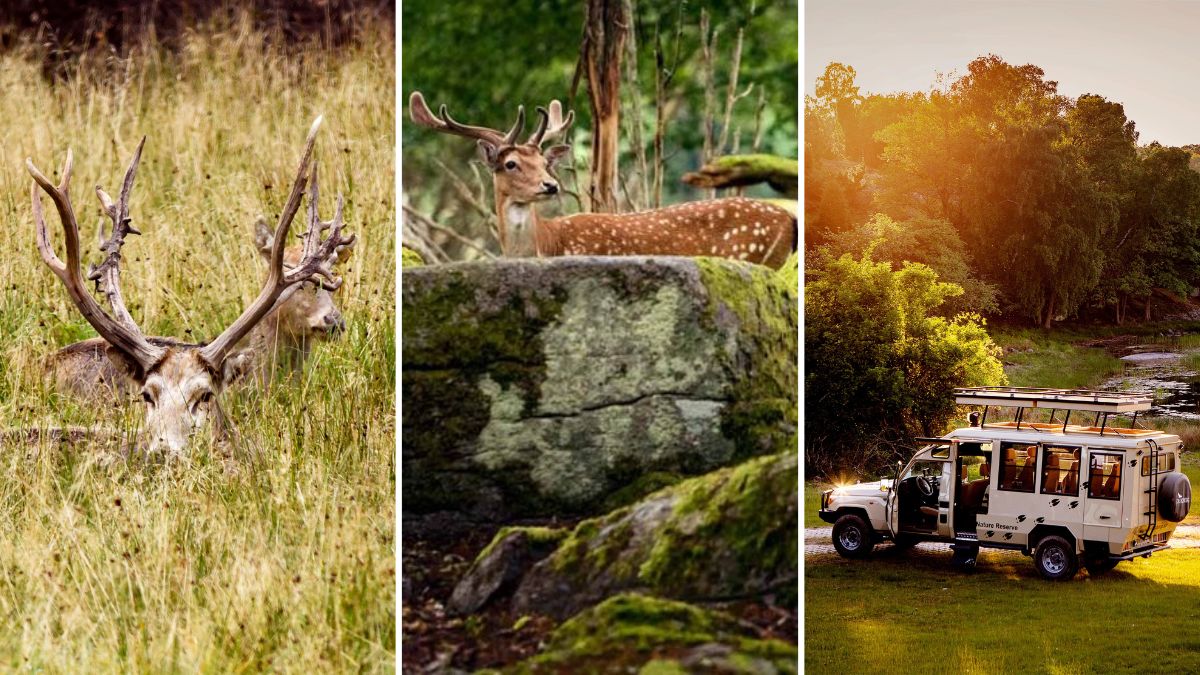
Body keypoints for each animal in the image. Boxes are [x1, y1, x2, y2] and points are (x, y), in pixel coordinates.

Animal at [408, 92, 792, 270]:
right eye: (511, 164)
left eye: (544, 163)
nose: (550, 186)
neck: (546, 244)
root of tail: (789, 219)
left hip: (755, 255)